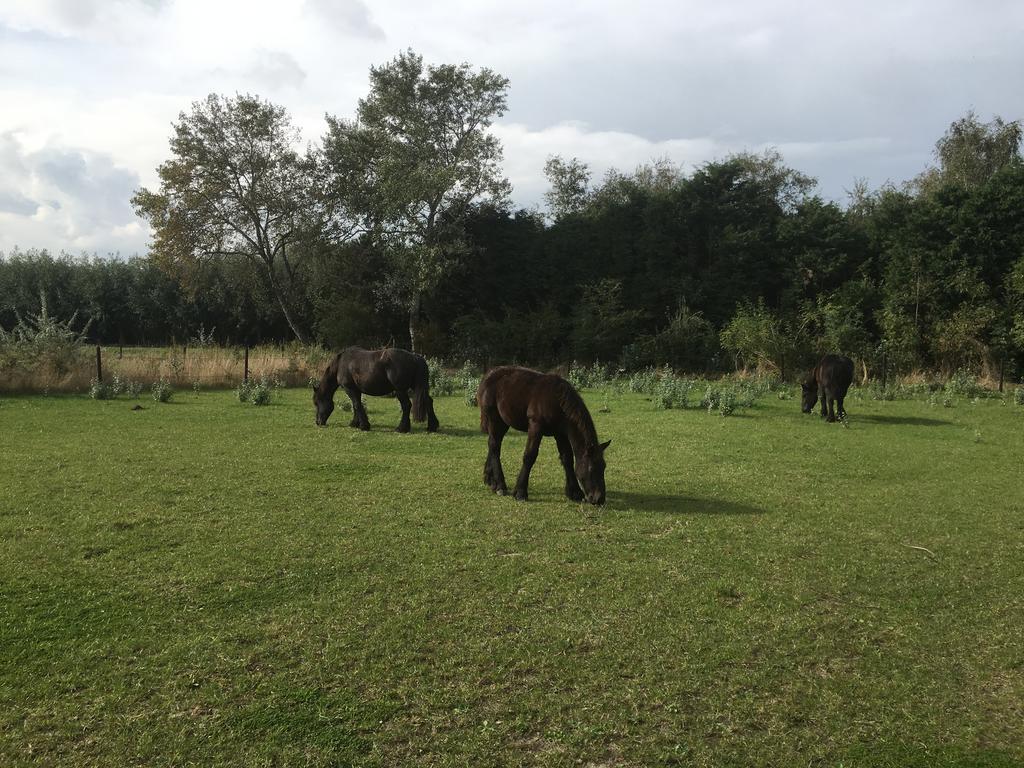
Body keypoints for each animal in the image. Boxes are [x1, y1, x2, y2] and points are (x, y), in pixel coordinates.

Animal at [311, 348, 440, 434]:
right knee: (428, 401)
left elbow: (357, 405)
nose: (318, 422)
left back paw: (401, 428)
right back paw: (432, 427)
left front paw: (364, 426)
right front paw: (355, 423)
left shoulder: (350, 389)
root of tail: (415, 357)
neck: (341, 364)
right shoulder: (356, 390)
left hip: (400, 390)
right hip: (418, 388)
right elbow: (356, 405)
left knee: (406, 405)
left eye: (316, 402)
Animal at [477, 366, 610, 505]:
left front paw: (575, 493)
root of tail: (488, 376)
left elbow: (567, 458)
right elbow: (530, 456)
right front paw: (520, 492)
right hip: (494, 418)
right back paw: (500, 486)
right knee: (494, 446)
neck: (557, 401)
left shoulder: (560, 434)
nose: (599, 498)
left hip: (503, 422)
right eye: (591, 469)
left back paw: (490, 479)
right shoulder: (536, 427)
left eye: (604, 467)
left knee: (493, 444)